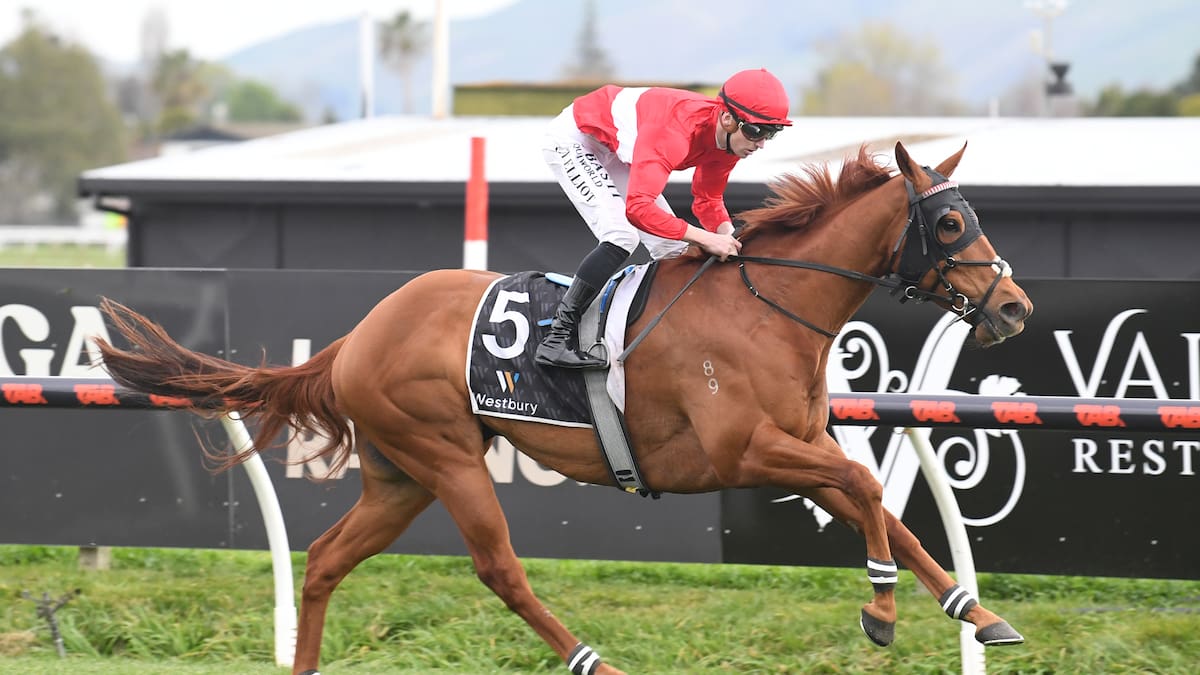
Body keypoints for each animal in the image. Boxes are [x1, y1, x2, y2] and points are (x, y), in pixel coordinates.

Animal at [95, 141, 1033, 675]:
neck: (765, 306)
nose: (1016, 307)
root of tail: (356, 336)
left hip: (400, 475)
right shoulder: (743, 449)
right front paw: (880, 610)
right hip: (448, 457)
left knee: (324, 559)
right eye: (951, 225)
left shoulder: (800, 441)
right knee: (499, 568)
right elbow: (871, 493)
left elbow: (887, 509)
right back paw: (594, 662)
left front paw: (978, 613)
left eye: (973, 215)